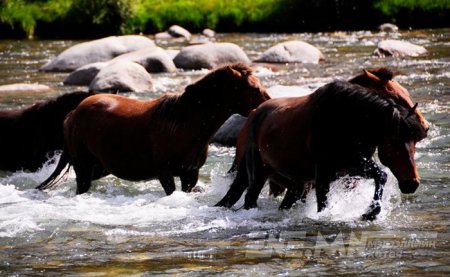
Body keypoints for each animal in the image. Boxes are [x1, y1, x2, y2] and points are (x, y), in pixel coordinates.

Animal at [37, 63, 268, 194]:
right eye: (253, 87)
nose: (268, 103)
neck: (184, 124)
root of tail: (72, 114)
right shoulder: (165, 174)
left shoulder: (190, 174)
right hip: (84, 168)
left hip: (99, 168)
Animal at [217, 67, 428, 220]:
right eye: (395, 143)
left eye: (413, 143)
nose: (412, 183)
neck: (347, 124)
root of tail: (253, 115)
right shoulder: (324, 173)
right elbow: (323, 202)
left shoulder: (349, 169)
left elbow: (381, 175)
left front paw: (370, 213)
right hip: (258, 172)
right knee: (250, 199)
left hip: (294, 183)